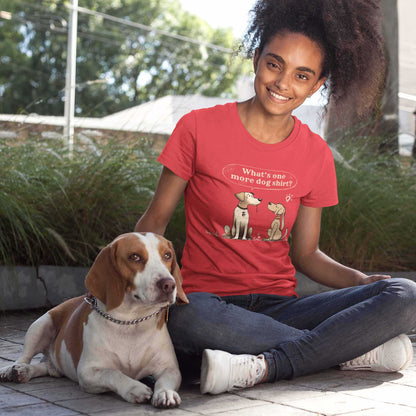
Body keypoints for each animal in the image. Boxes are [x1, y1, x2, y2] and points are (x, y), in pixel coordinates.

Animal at [0, 232, 188, 408]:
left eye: (167, 255)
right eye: (135, 257)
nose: (169, 285)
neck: (130, 322)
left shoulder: (170, 368)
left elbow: (164, 381)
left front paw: (165, 393)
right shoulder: (87, 372)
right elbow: (114, 373)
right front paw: (135, 388)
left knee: (45, 367)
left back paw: (27, 371)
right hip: (40, 326)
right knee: (24, 357)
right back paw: (15, 369)